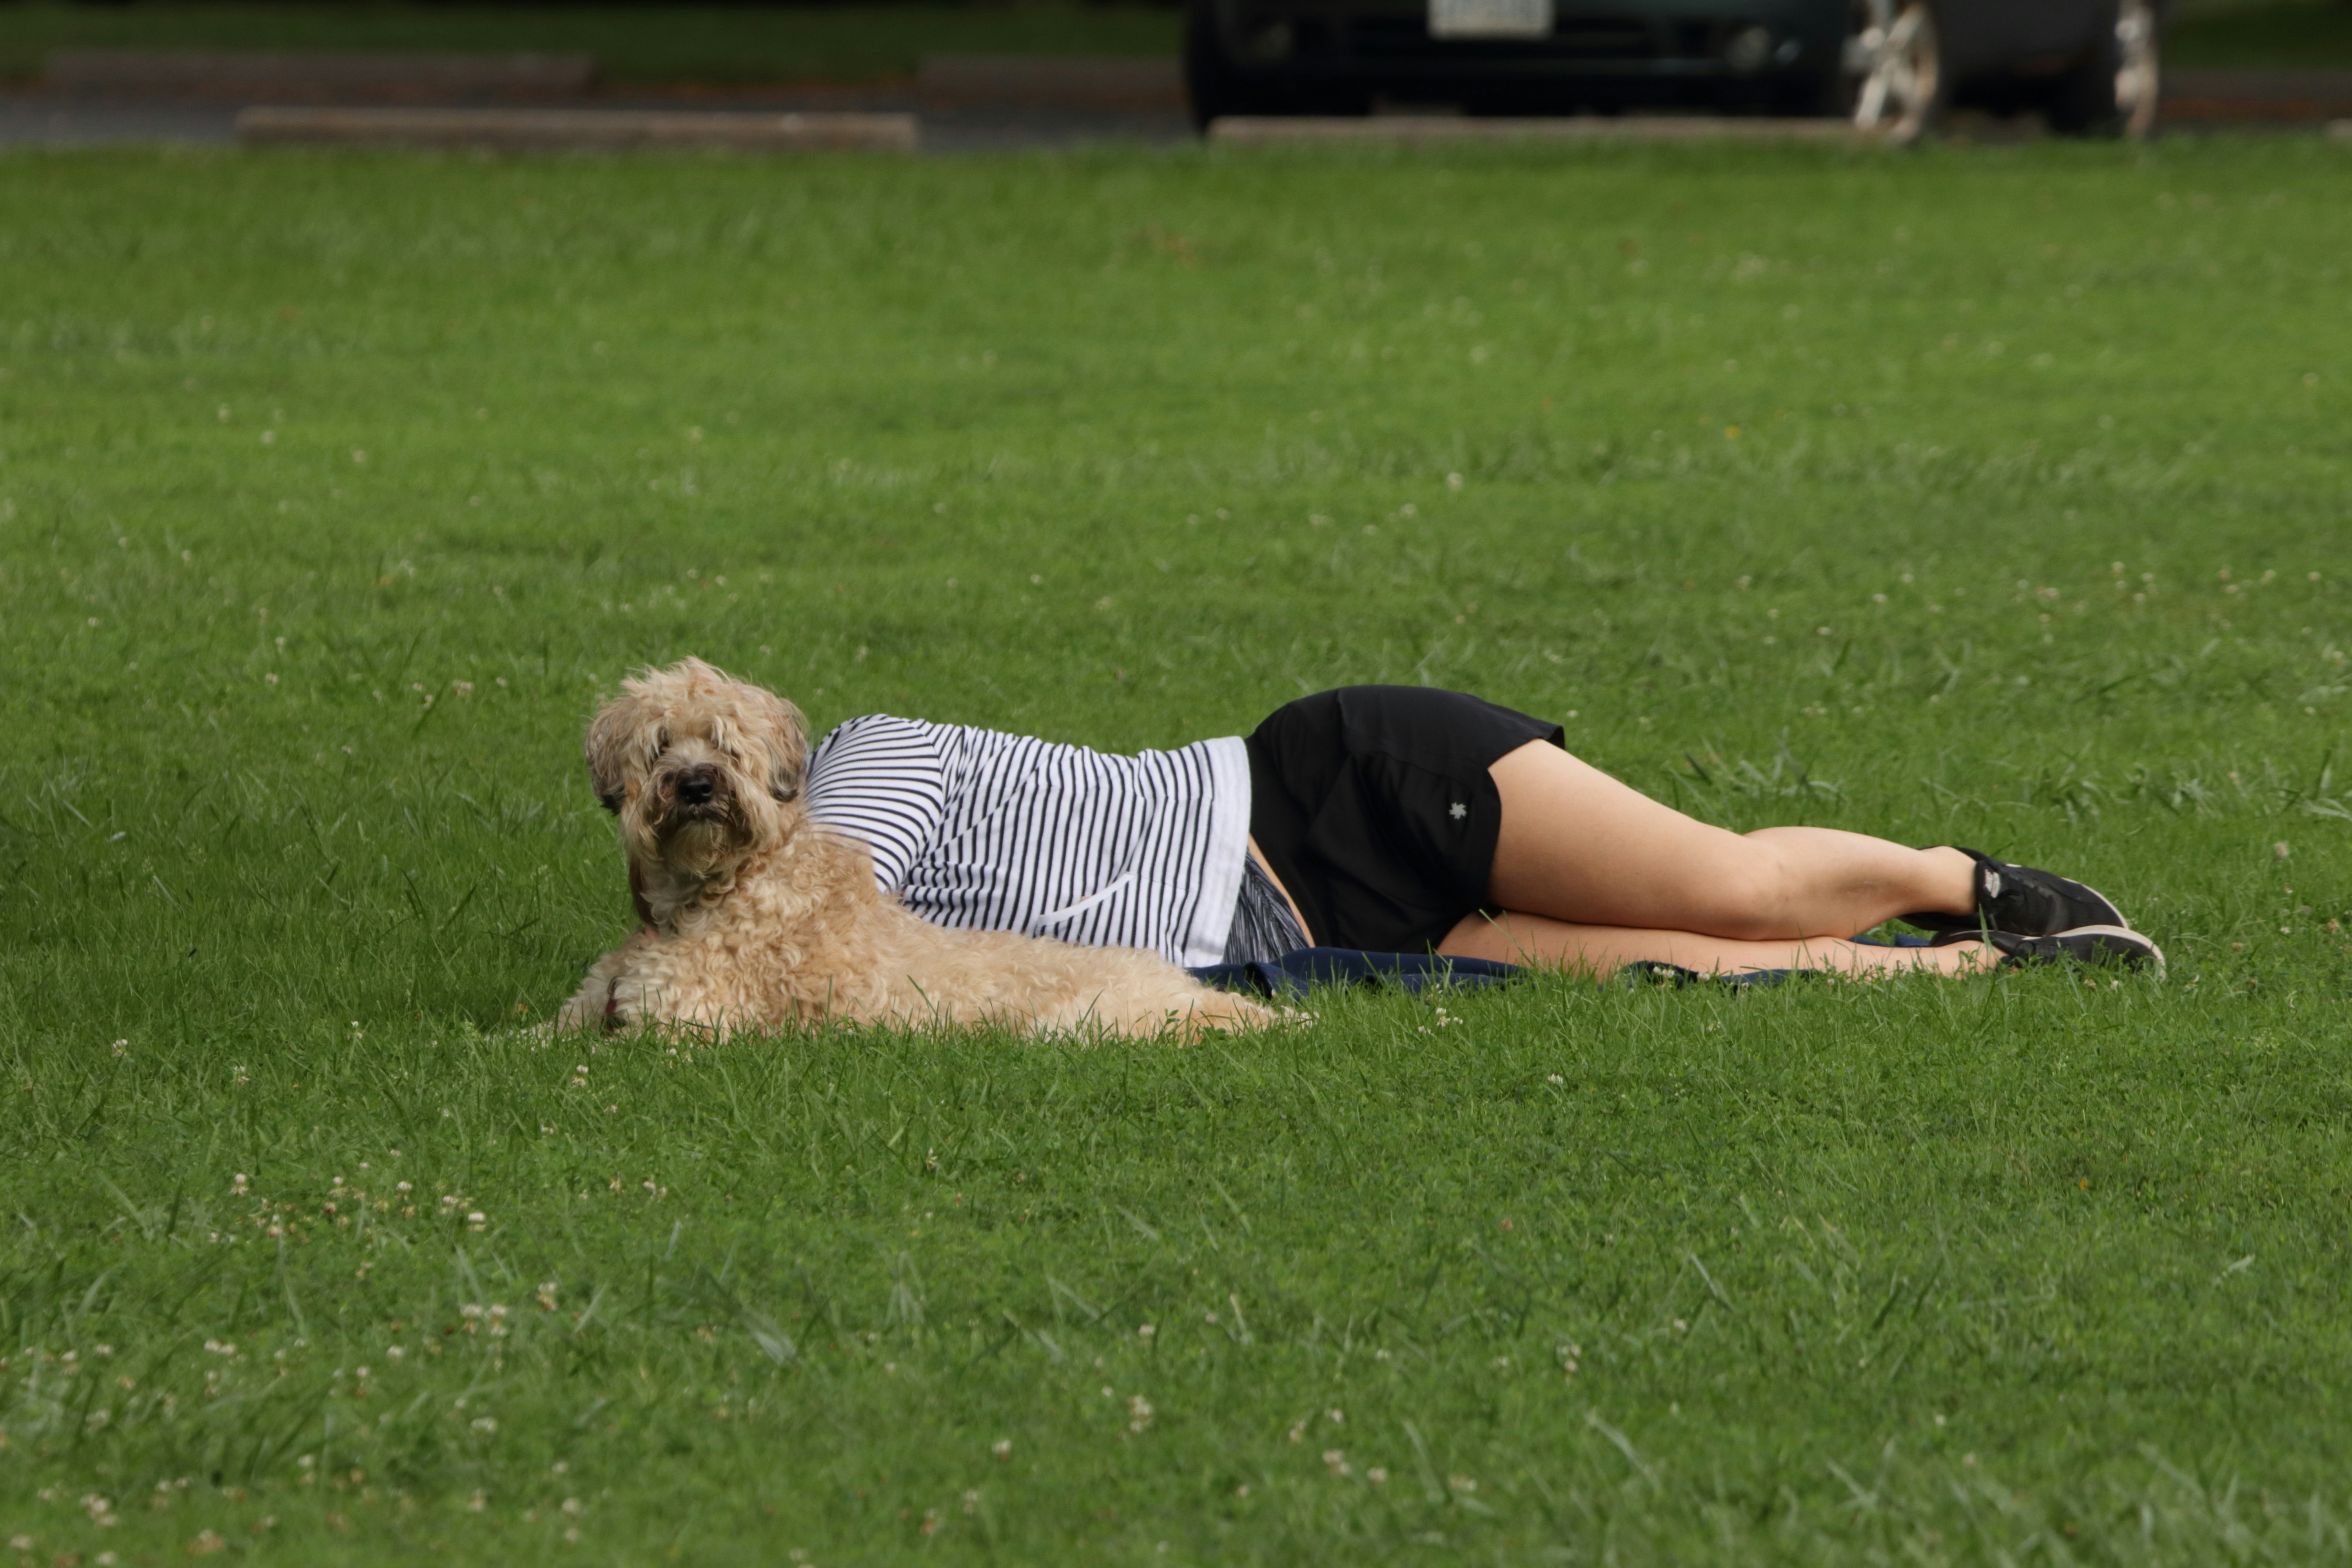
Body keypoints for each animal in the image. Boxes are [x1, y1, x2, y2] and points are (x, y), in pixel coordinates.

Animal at [557, 658, 1279, 1044]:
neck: (720, 888)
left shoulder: (681, 1029)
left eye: (726, 744)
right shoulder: (587, 1011)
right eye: (660, 745)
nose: (697, 785)